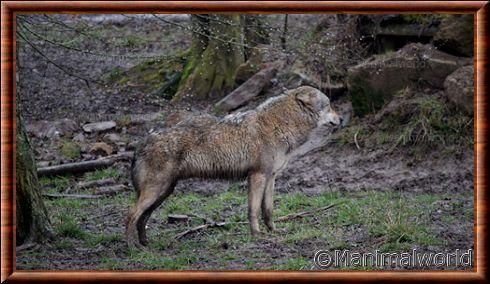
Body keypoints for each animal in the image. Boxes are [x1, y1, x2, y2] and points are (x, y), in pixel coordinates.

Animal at [126, 86, 340, 248]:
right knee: (131, 216)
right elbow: (254, 210)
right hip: (155, 192)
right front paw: (257, 235)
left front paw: (273, 231)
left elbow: (268, 210)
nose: (341, 119)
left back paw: (145, 243)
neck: (280, 123)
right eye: (329, 105)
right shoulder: (257, 176)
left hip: (163, 193)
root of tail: (142, 142)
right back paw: (133, 248)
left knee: (142, 219)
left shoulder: (271, 177)